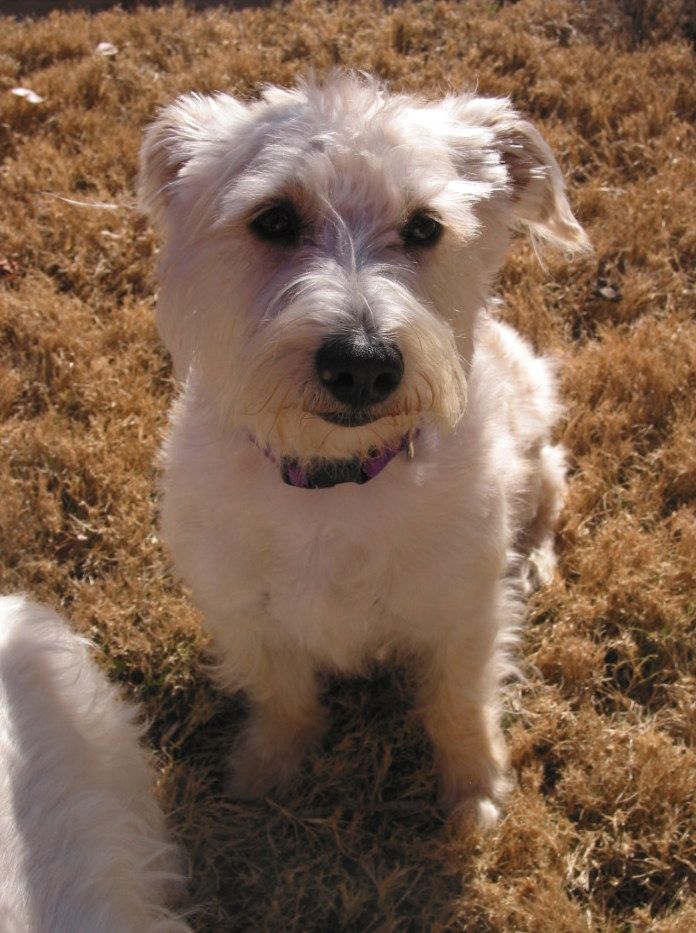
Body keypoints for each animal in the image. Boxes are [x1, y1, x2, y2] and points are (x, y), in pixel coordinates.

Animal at [138, 72, 588, 826]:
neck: (338, 482)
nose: (361, 363)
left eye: (425, 227)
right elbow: (281, 694)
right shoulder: (242, 609)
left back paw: (537, 558)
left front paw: (473, 791)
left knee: (550, 487)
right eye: (274, 220)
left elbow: (459, 703)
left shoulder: (463, 611)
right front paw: (267, 767)